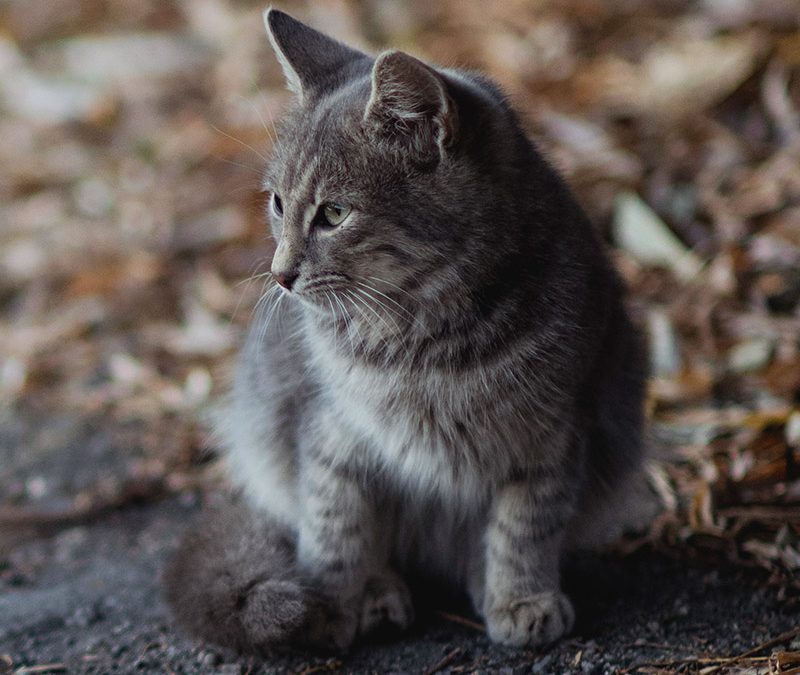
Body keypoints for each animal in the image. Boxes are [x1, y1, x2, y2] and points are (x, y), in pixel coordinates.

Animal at [164, 9, 648, 656]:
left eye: (335, 214)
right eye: (277, 204)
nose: (280, 273)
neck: (422, 337)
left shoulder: (555, 437)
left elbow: (524, 527)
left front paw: (520, 598)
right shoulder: (332, 435)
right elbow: (336, 530)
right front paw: (332, 603)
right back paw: (379, 594)